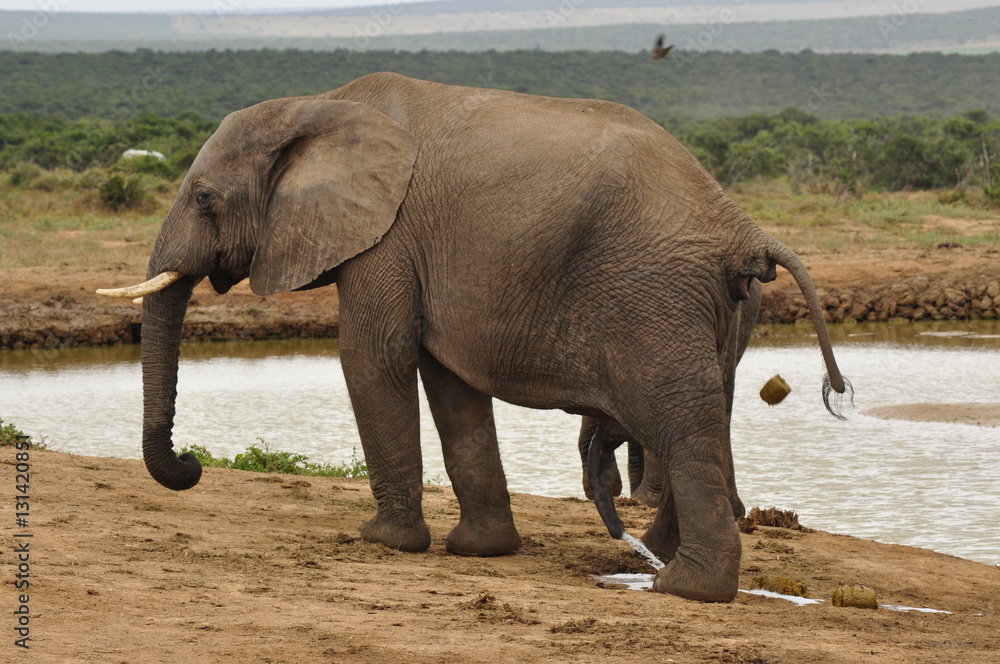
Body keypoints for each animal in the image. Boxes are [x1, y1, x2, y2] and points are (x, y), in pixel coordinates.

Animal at [97, 72, 851, 603]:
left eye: (203, 199)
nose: (192, 463)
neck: (318, 105)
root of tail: (742, 228)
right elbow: (450, 384)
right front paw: (478, 551)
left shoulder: (389, 236)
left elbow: (373, 358)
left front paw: (382, 542)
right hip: (720, 309)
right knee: (705, 413)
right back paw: (653, 559)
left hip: (653, 295)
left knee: (678, 419)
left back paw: (684, 588)